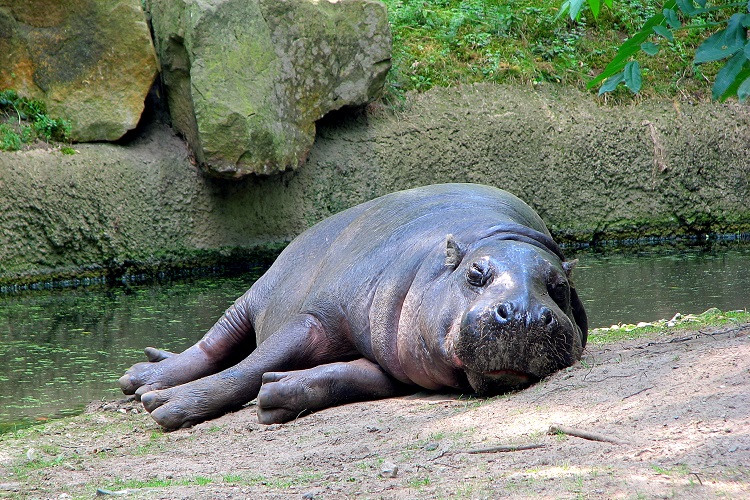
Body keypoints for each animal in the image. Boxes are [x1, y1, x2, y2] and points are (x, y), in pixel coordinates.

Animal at [119, 184, 588, 430]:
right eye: (476, 274)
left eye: (559, 287)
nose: (523, 313)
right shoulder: (314, 319)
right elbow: (247, 367)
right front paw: (164, 406)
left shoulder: (395, 361)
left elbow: (345, 377)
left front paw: (278, 393)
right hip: (251, 297)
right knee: (214, 345)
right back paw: (143, 378)